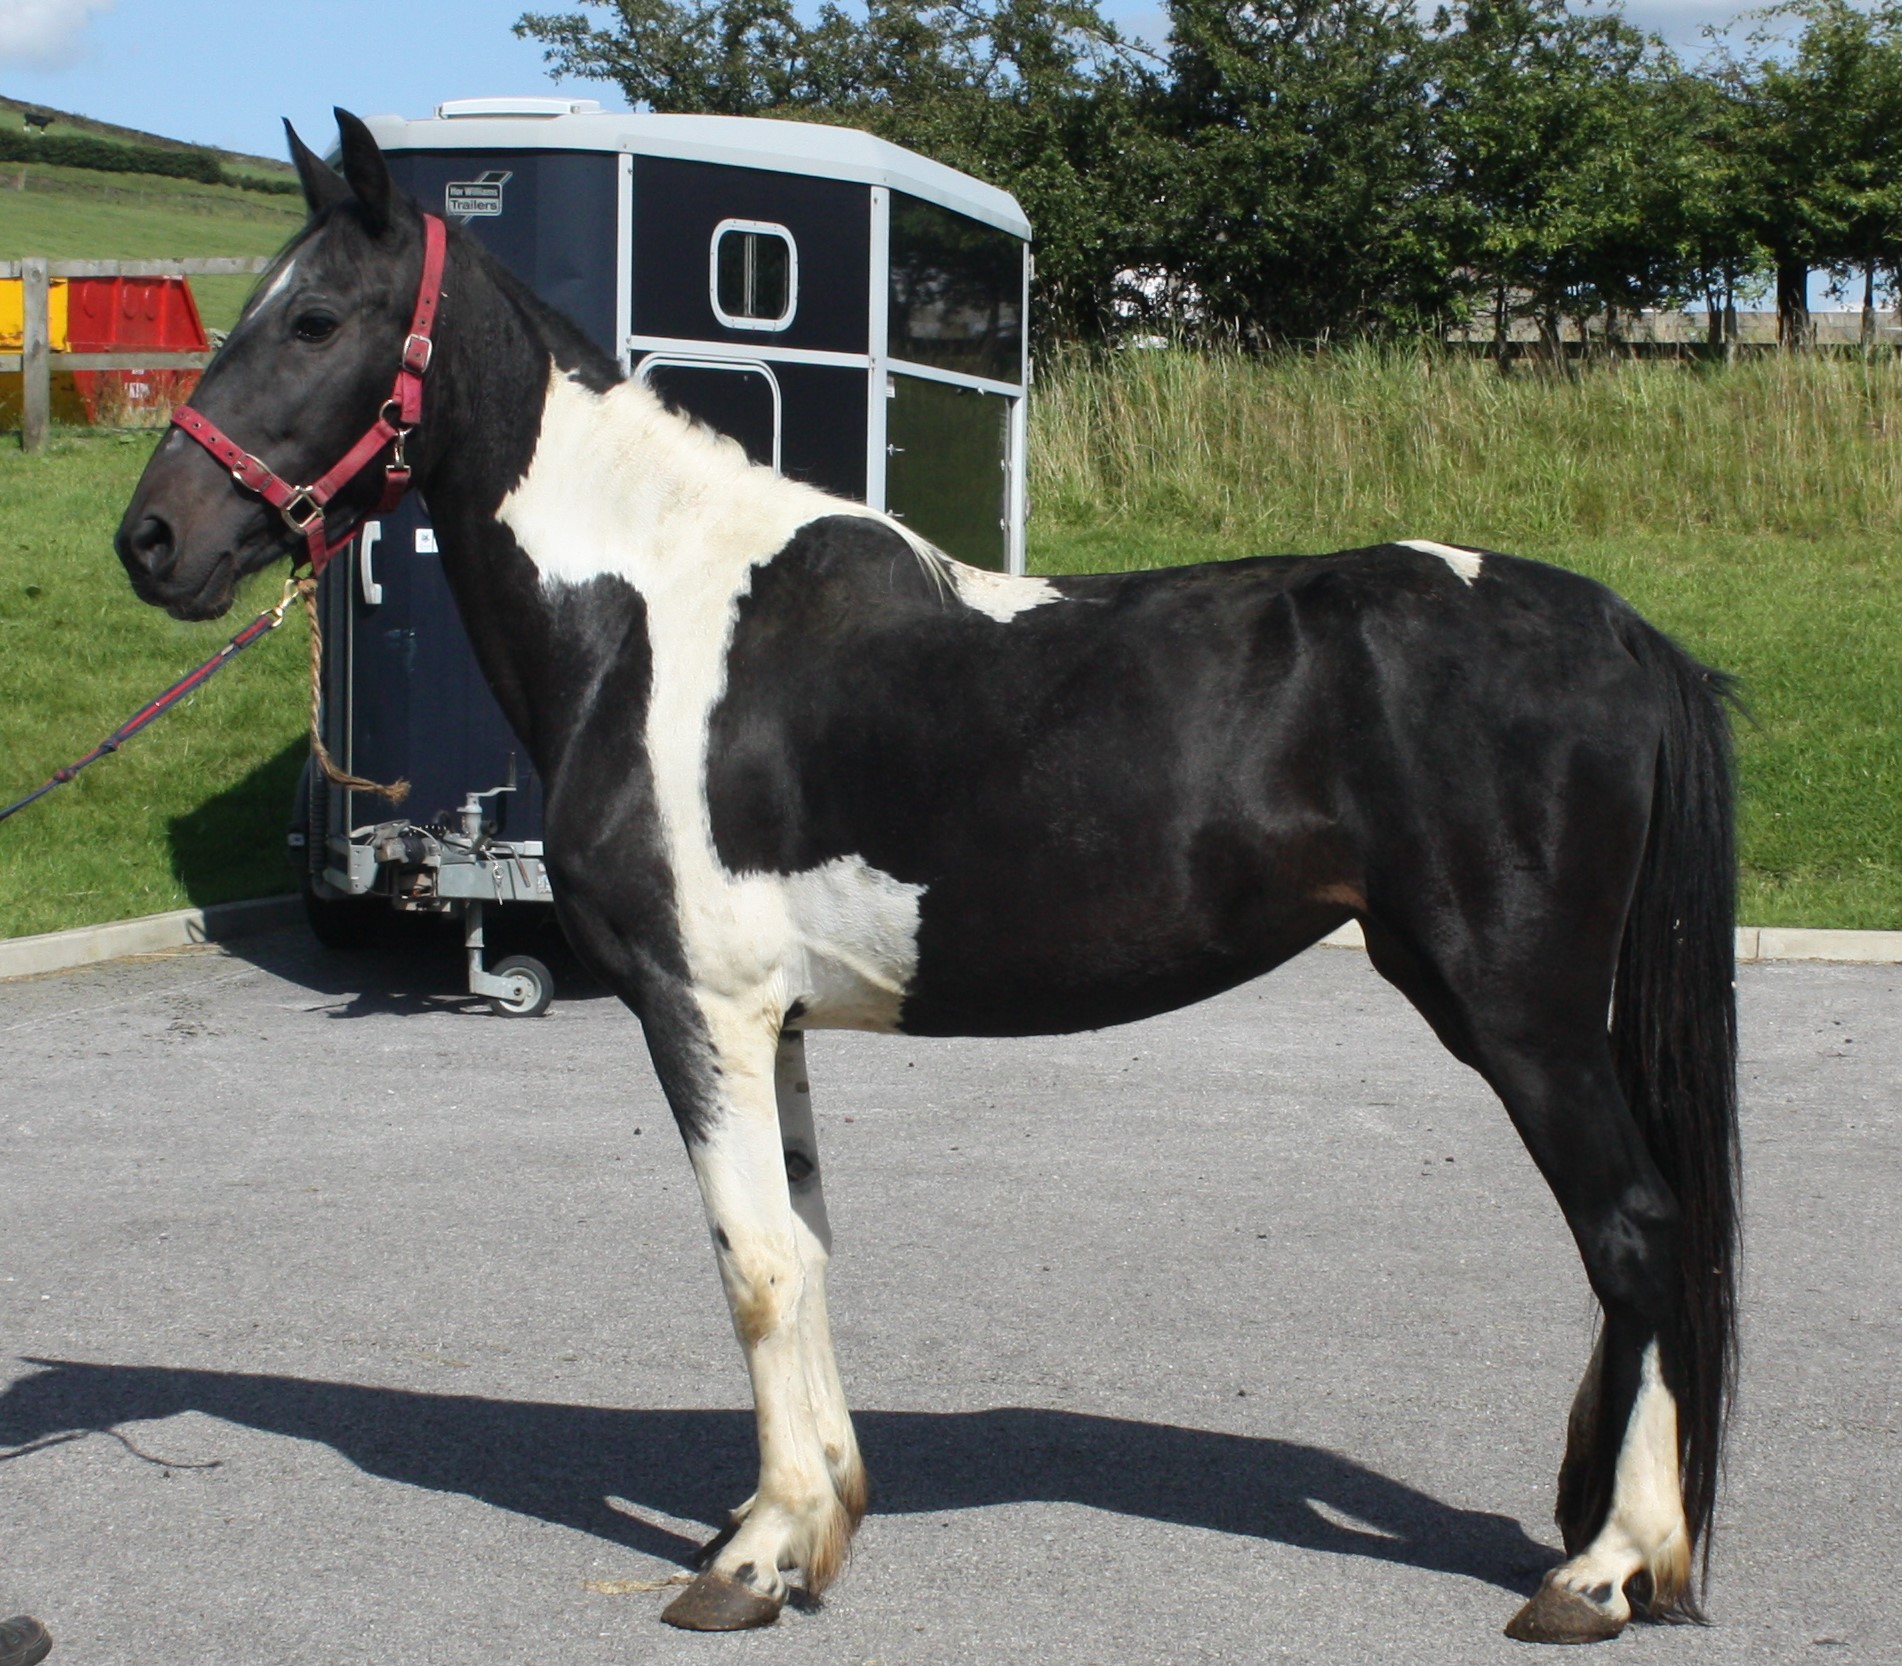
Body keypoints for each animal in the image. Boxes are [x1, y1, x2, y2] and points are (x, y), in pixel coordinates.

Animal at [114, 112, 1740, 1645]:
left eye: (317, 319)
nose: (154, 538)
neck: (651, 615)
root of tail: (1611, 627)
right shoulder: (770, 1024)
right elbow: (807, 1244)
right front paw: (817, 1515)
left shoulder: (696, 1007)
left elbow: (754, 1265)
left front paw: (750, 1560)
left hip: (1516, 1011)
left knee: (1637, 1233)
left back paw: (1603, 1569)